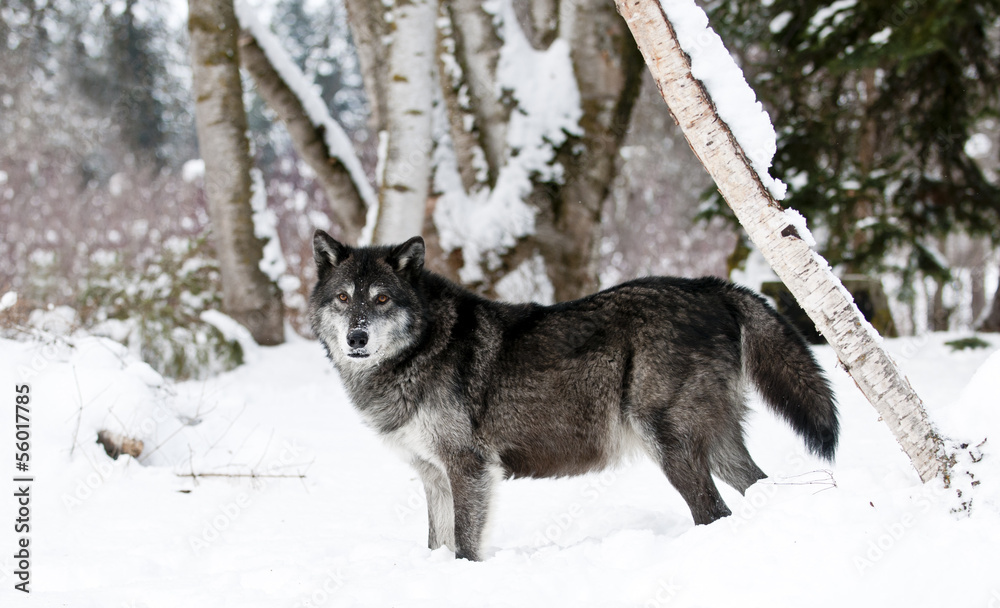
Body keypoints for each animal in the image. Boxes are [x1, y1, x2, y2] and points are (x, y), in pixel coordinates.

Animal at [310, 230, 839, 561]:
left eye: (381, 299)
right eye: (343, 298)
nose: (357, 338)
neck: (421, 348)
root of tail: (712, 287)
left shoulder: (468, 468)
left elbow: (464, 544)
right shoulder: (433, 475)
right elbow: (436, 542)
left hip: (669, 445)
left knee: (714, 512)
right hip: (718, 446)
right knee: (759, 487)